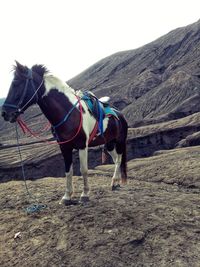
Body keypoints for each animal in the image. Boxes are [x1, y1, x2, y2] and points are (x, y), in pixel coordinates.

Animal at [1, 61, 127, 206]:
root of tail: (120, 114)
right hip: (109, 143)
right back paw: (115, 182)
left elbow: (83, 170)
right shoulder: (64, 146)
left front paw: (84, 194)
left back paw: (114, 183)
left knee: (119, 159)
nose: (4, 113)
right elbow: (68, 170)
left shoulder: (82, 146)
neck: (70, 114)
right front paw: (67, 196)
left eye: (16, 83)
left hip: (120, 142)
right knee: (116, 159)